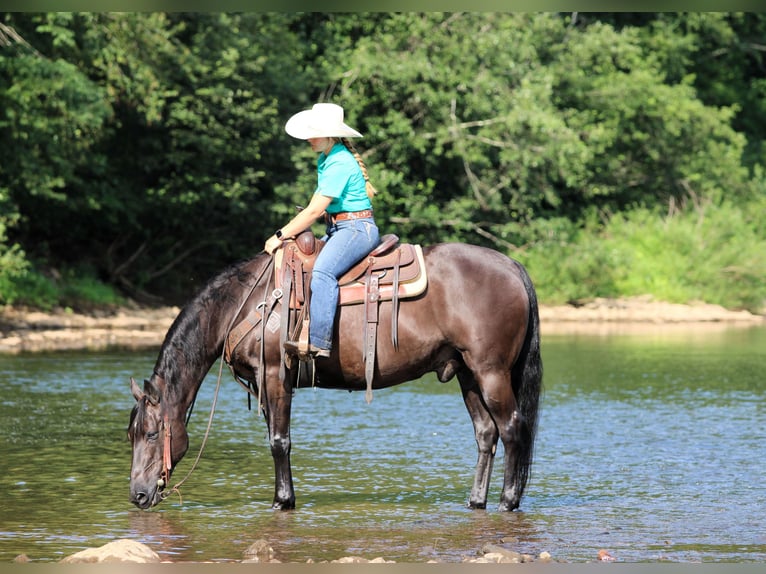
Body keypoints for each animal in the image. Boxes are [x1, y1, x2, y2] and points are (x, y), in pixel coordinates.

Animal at [127, 240, 542, 512]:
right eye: (131, 435)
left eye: (152, 433)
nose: (138, 495)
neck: (246, 304)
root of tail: (513, 266)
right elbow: (275, 438)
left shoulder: (276, 375)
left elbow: (279, 441)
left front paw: (283, 501)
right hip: (467, 374)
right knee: (486, 434)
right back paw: (475, 501)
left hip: (491, 372)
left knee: (511, 429)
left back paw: (508, 501)